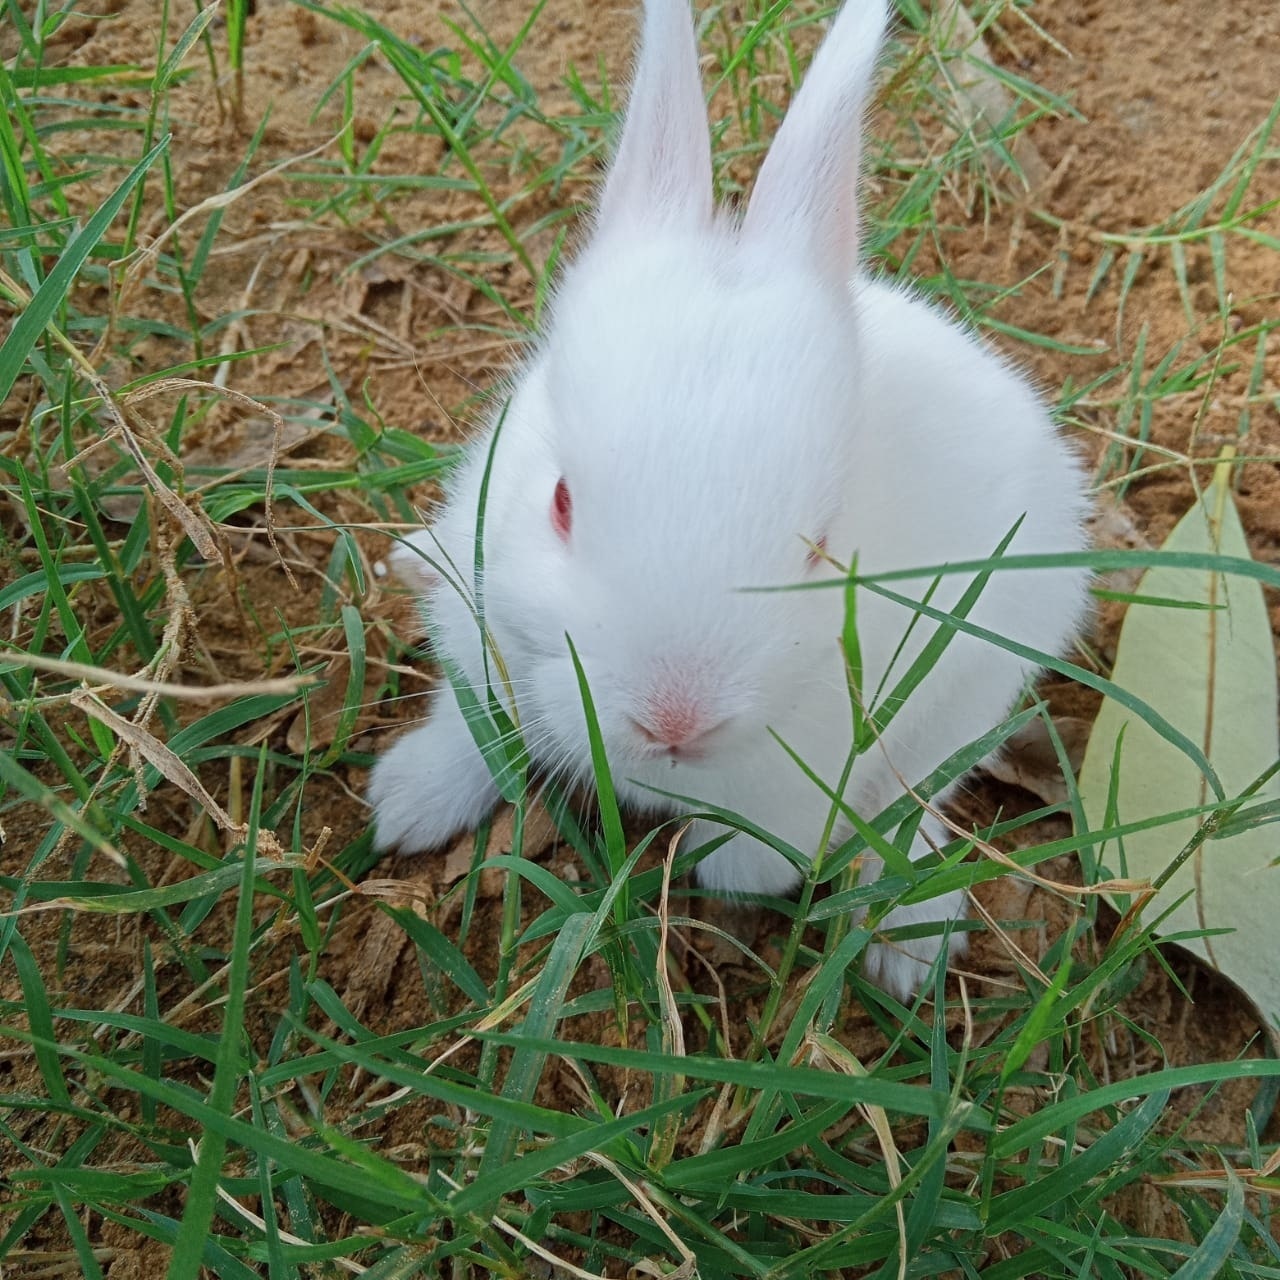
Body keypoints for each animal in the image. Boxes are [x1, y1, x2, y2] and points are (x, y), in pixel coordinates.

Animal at [368, 0, 1091, 1001]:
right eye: (560, 502)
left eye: (823, 545)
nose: (674, 719)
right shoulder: (482, 634)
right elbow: (475, 727)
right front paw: (403, 802)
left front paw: (735, 874)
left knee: (913, 807)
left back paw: (910, 943)